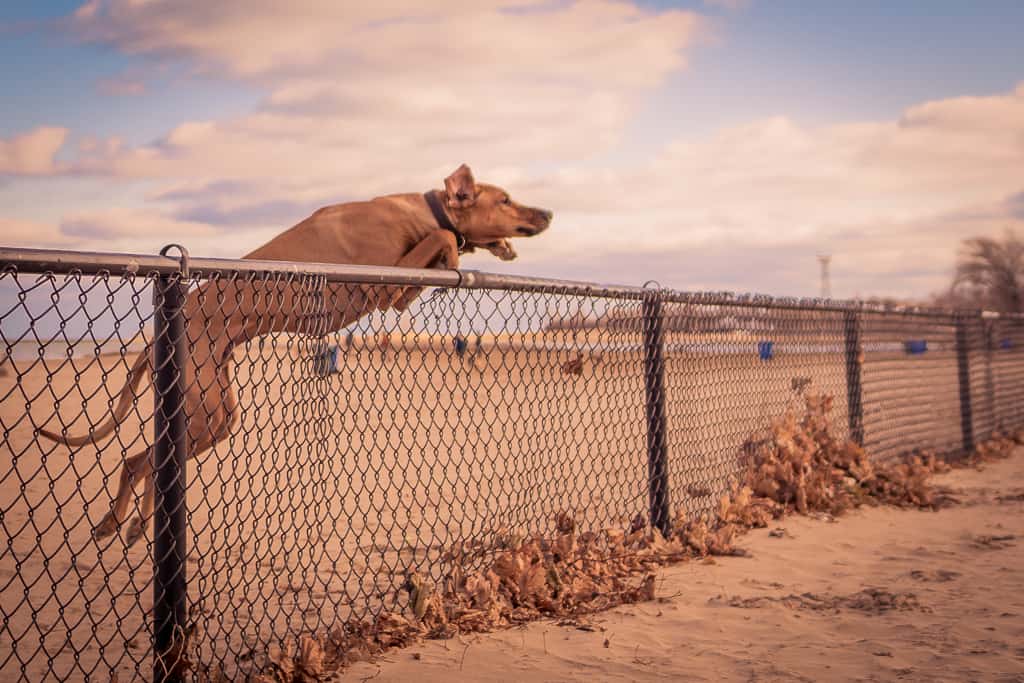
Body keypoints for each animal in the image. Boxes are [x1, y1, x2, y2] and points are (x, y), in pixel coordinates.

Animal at [39, 163, 552, 544]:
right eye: (505, 199)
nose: (548, 212)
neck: (418, 211)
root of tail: (156, 335)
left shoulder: (398, 293)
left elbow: (439, 249)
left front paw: (463, 258)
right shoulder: (383, 283)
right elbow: (443, 239)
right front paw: (458, 255)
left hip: (213, 411)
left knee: (150, 461)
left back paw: (135, 523)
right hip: (203, 408)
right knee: (135, 461)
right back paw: (118, 521)